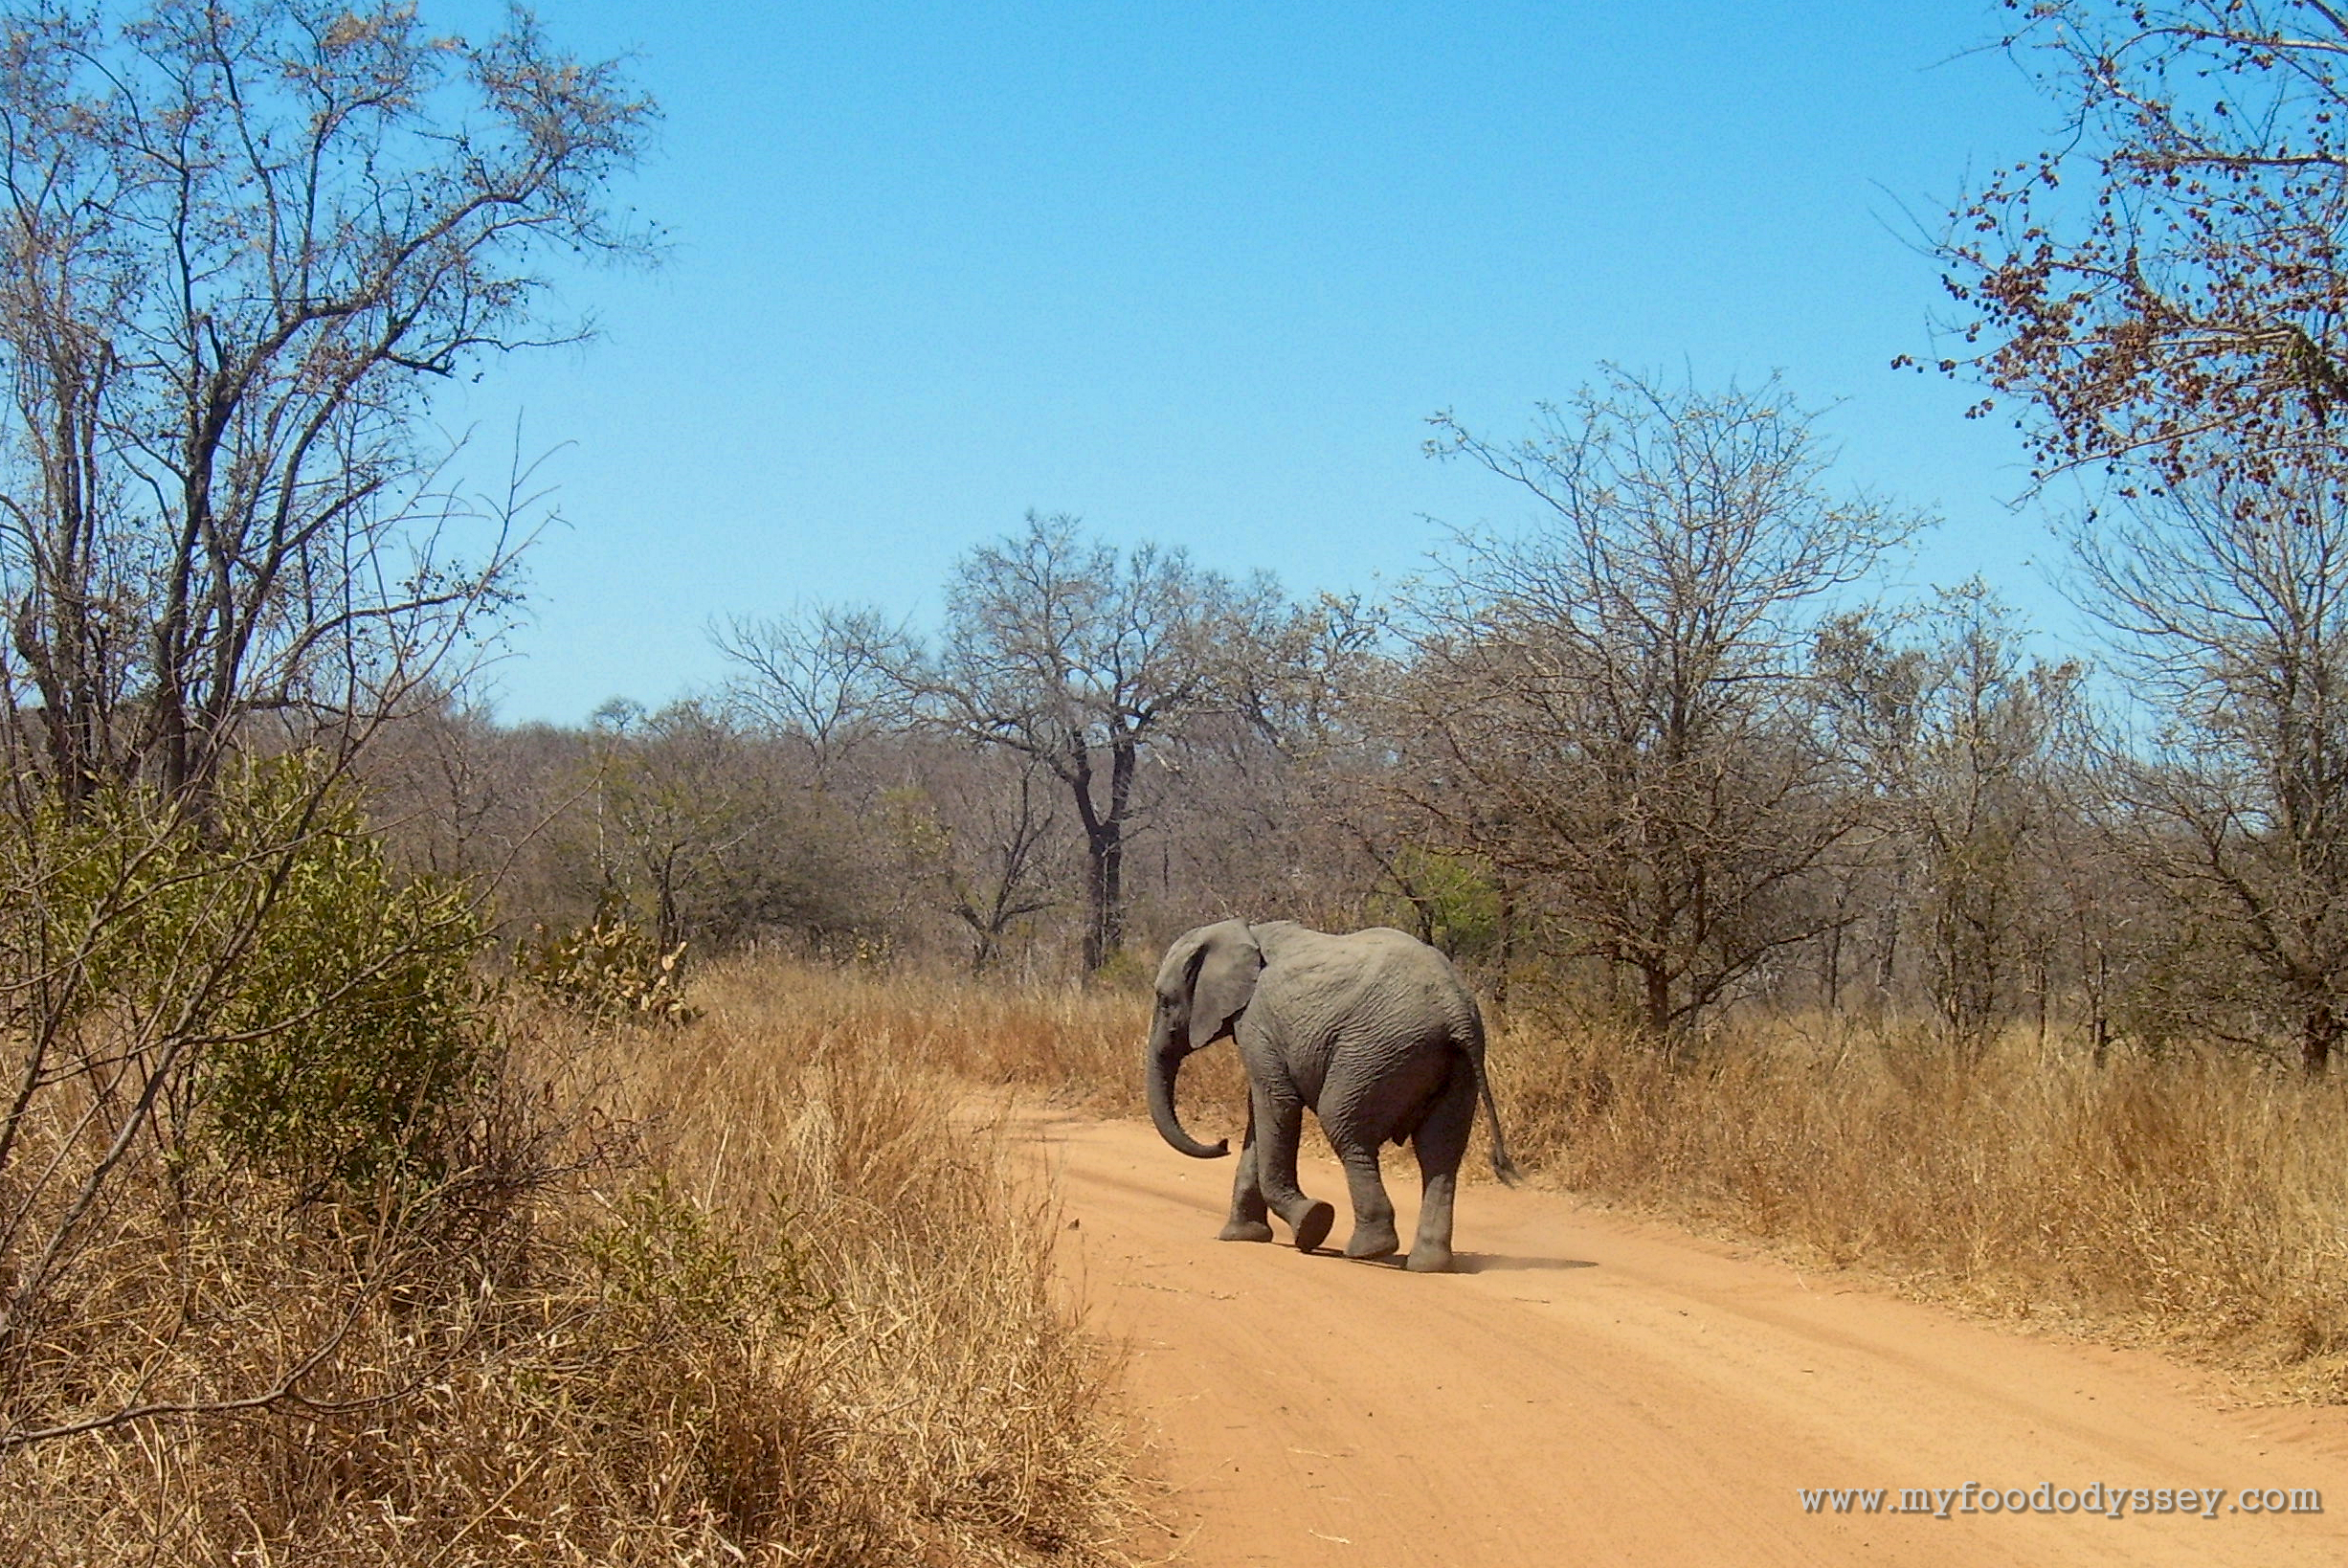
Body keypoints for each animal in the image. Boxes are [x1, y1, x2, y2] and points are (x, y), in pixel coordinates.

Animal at [1144, 919, 1519, 1273]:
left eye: (1164, 1001)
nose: (1222, 1143)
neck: (1242, 930)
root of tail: (1456, 1009)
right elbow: (1260, 1116)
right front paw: (1241, 1236)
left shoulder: (1256, 1022)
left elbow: (1277, 1105)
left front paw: (1311, 1225)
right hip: (1455, 1067)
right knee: (1439, 1152)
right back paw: (1429, 1265)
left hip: (1374, 1052)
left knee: (1343, 1125)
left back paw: (1368, 1250)